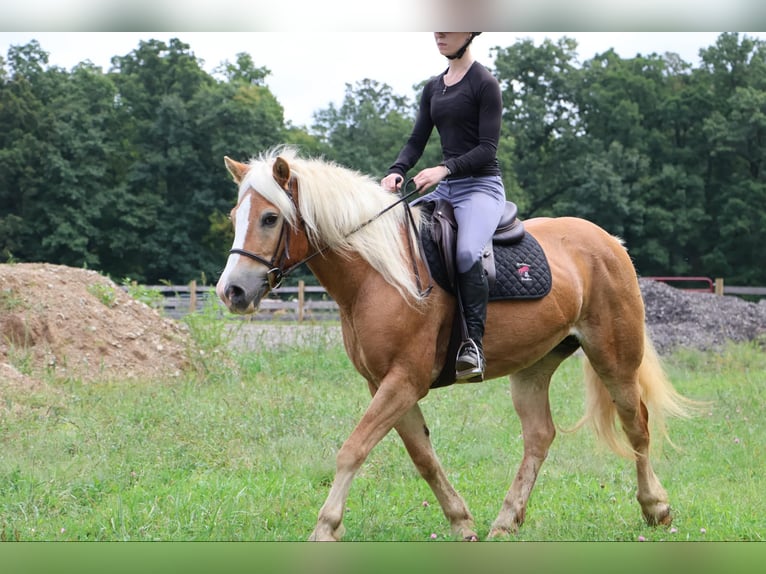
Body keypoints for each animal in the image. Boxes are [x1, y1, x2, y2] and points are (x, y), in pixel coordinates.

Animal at [215, 147, 695, 541]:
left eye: (270, 218)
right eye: (236, 217)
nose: (231, 291)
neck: (378, 275)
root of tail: (609, 242)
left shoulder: (403, 381)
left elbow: (353, 448)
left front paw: (325, 527)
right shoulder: (386, 384)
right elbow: (422, 455)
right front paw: (461, 521)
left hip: (614, 359)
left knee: (637, 425)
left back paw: (656, 508)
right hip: (534, 366)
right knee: (540, 435)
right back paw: (506, 521)